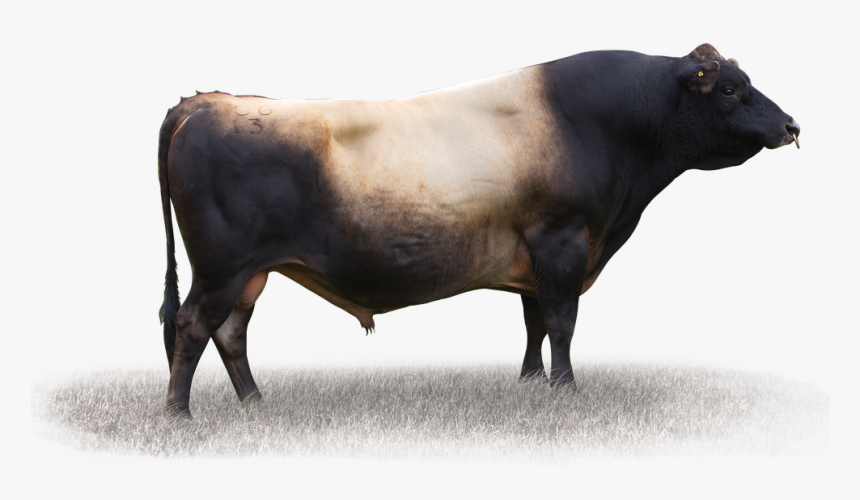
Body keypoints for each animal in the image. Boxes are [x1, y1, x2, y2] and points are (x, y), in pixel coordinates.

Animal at [158, 44, 799, 418]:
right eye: (729, 88)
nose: (792, 125)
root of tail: (205, 102)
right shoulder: (563, 239)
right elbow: (562, 322)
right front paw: (566, 392)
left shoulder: (537, 254)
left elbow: (535, 321)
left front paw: (530, 383)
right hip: (221, 267)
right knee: (192, 327)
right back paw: (178, 415)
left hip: (251, 273)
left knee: (231, 333)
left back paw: (255, 404)